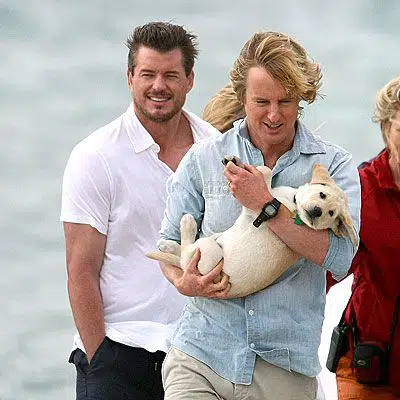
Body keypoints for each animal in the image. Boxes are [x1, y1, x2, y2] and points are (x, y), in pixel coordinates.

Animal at [147, 157, 358, 298]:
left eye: (331, 213)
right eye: (322, 195)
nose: (316, 212)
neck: (293, 207)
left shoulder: (255, 210)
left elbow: (264, 172)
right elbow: (266, 170)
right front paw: (237, 163)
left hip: (210, 256)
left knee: (188, 254)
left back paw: (185, 226)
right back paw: (168, 245)